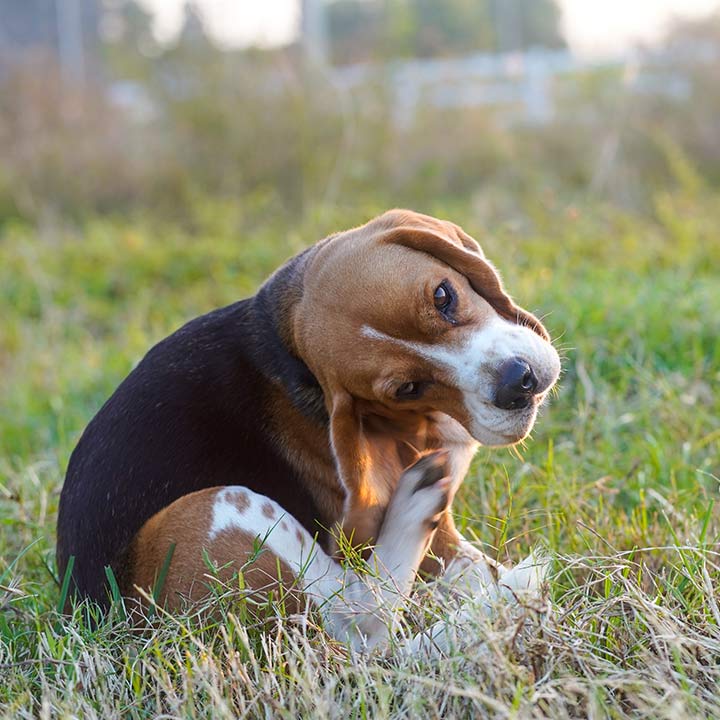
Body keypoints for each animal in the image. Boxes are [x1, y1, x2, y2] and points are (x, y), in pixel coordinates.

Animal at [56, 207, 564, 612]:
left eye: (444, 295)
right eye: (408, 388)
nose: (516, 383)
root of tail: (97, 619)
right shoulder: (440, 545)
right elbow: (473, 569)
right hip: (219, 511)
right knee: (362, 622)